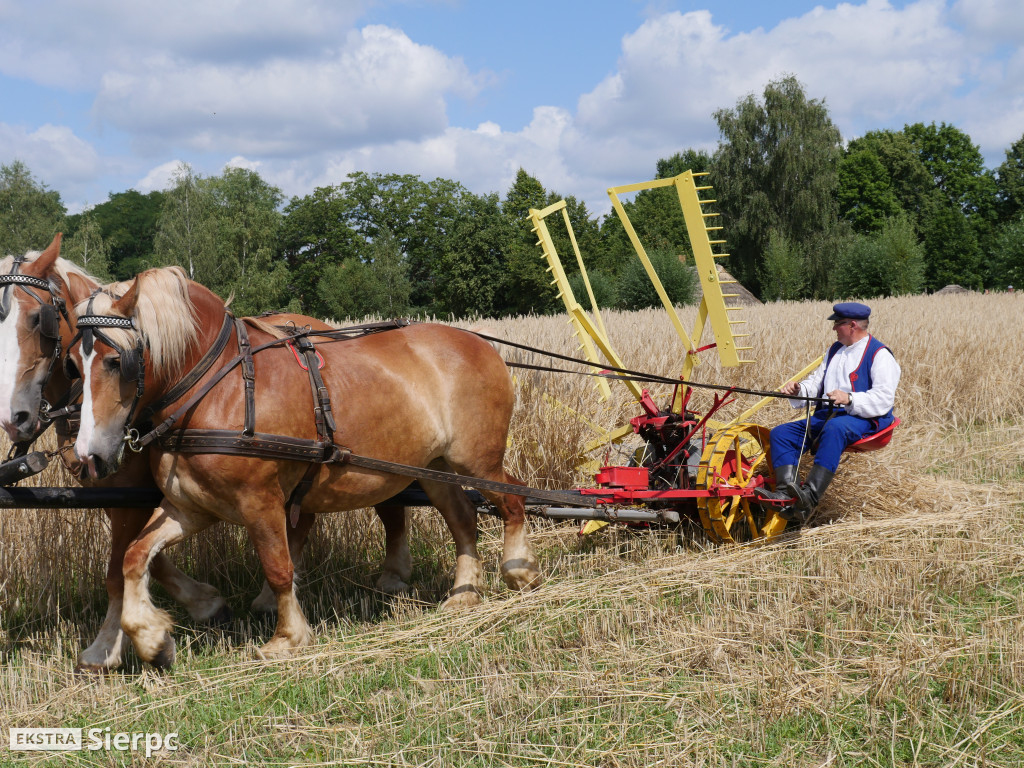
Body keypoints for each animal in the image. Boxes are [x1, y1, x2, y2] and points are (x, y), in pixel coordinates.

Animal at [0, 237, 413, 671]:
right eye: (73, 365)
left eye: (37, 320)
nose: (14, 418)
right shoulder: (123, 496)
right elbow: (140, 557)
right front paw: (190, 611)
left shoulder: (136, 496)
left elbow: (118, 567)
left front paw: (112, 644)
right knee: (304, 517)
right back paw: (272, 596)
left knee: (387, 501)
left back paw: (391, 576)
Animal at [67, 268, 540, 663]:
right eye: (73, 365)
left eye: (116, 361)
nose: (89, 456)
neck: (218, 388)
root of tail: (481, 342)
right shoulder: (191, 507)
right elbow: (133, 556)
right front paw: (151, 638)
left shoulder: (260, 502)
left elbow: (279, 567)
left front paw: (287, 637)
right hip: (433, 467)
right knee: (462, 517)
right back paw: (464, 594)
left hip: (476, 460)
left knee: (514, 502)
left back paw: (520, 571)